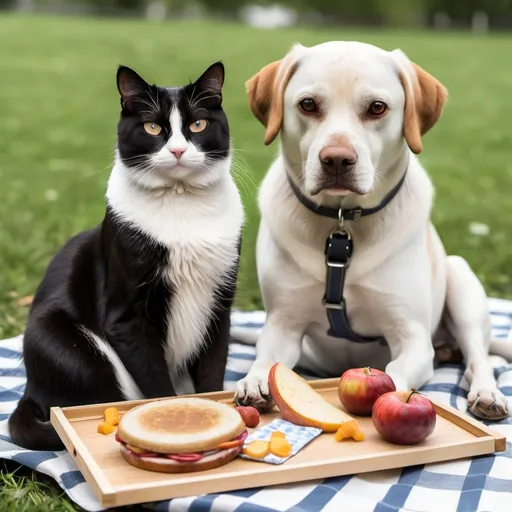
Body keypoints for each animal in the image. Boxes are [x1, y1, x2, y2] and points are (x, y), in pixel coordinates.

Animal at [9, 62, 245, 450]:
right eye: (152, 127)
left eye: (198, 124)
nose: (177, 151)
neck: (180, 202)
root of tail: (30, 390)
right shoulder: (127, 317)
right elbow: (156, 386)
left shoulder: (219, 306)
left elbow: (212, 372)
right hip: (61, 342)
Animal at [234, 42, 510, 420]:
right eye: (308, 104)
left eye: (377, 108)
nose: (336, 159)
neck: (342, 224)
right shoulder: (282, 325)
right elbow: (268, 358)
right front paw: (256, 379)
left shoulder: (412, 337)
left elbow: (394, 373)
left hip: (462, 282)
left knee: (479, 358)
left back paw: (486, 393)